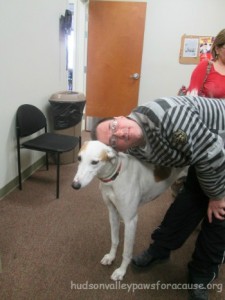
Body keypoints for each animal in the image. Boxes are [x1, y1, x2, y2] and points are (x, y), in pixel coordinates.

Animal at [71, 141, 185, 282]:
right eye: (79, 158)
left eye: (94, 162)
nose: (75, 185)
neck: (115, 177)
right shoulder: (113, 213)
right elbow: (115, 240)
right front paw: (111, 257)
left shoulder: (131, 221)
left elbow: (126, 251)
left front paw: (121, 271)